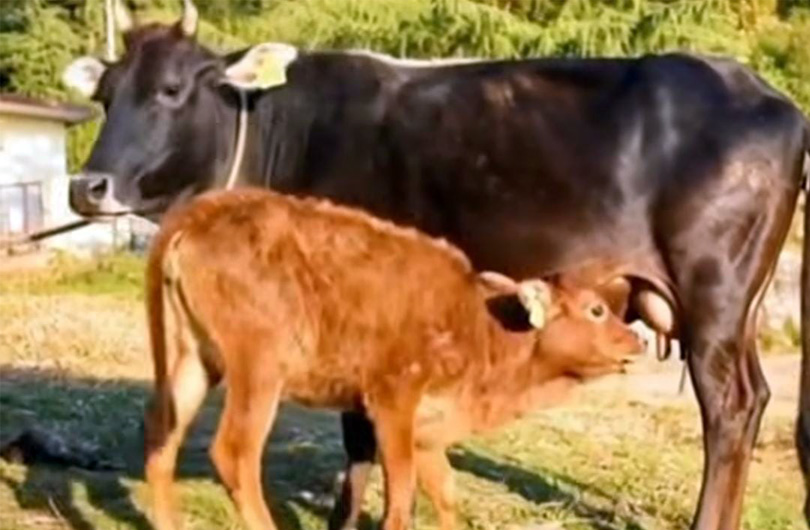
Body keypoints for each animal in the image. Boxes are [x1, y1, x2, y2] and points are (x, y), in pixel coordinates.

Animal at [145, 187, 644, 530]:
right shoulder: (392, 405)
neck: (482, 323)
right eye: (596, 310)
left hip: (193, 359)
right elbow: (401, 499)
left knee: (161, 436)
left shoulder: (427, 432)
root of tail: (203, 211)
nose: (636, 343)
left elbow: (445, 493)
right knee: (235, 452)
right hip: (260, 370)